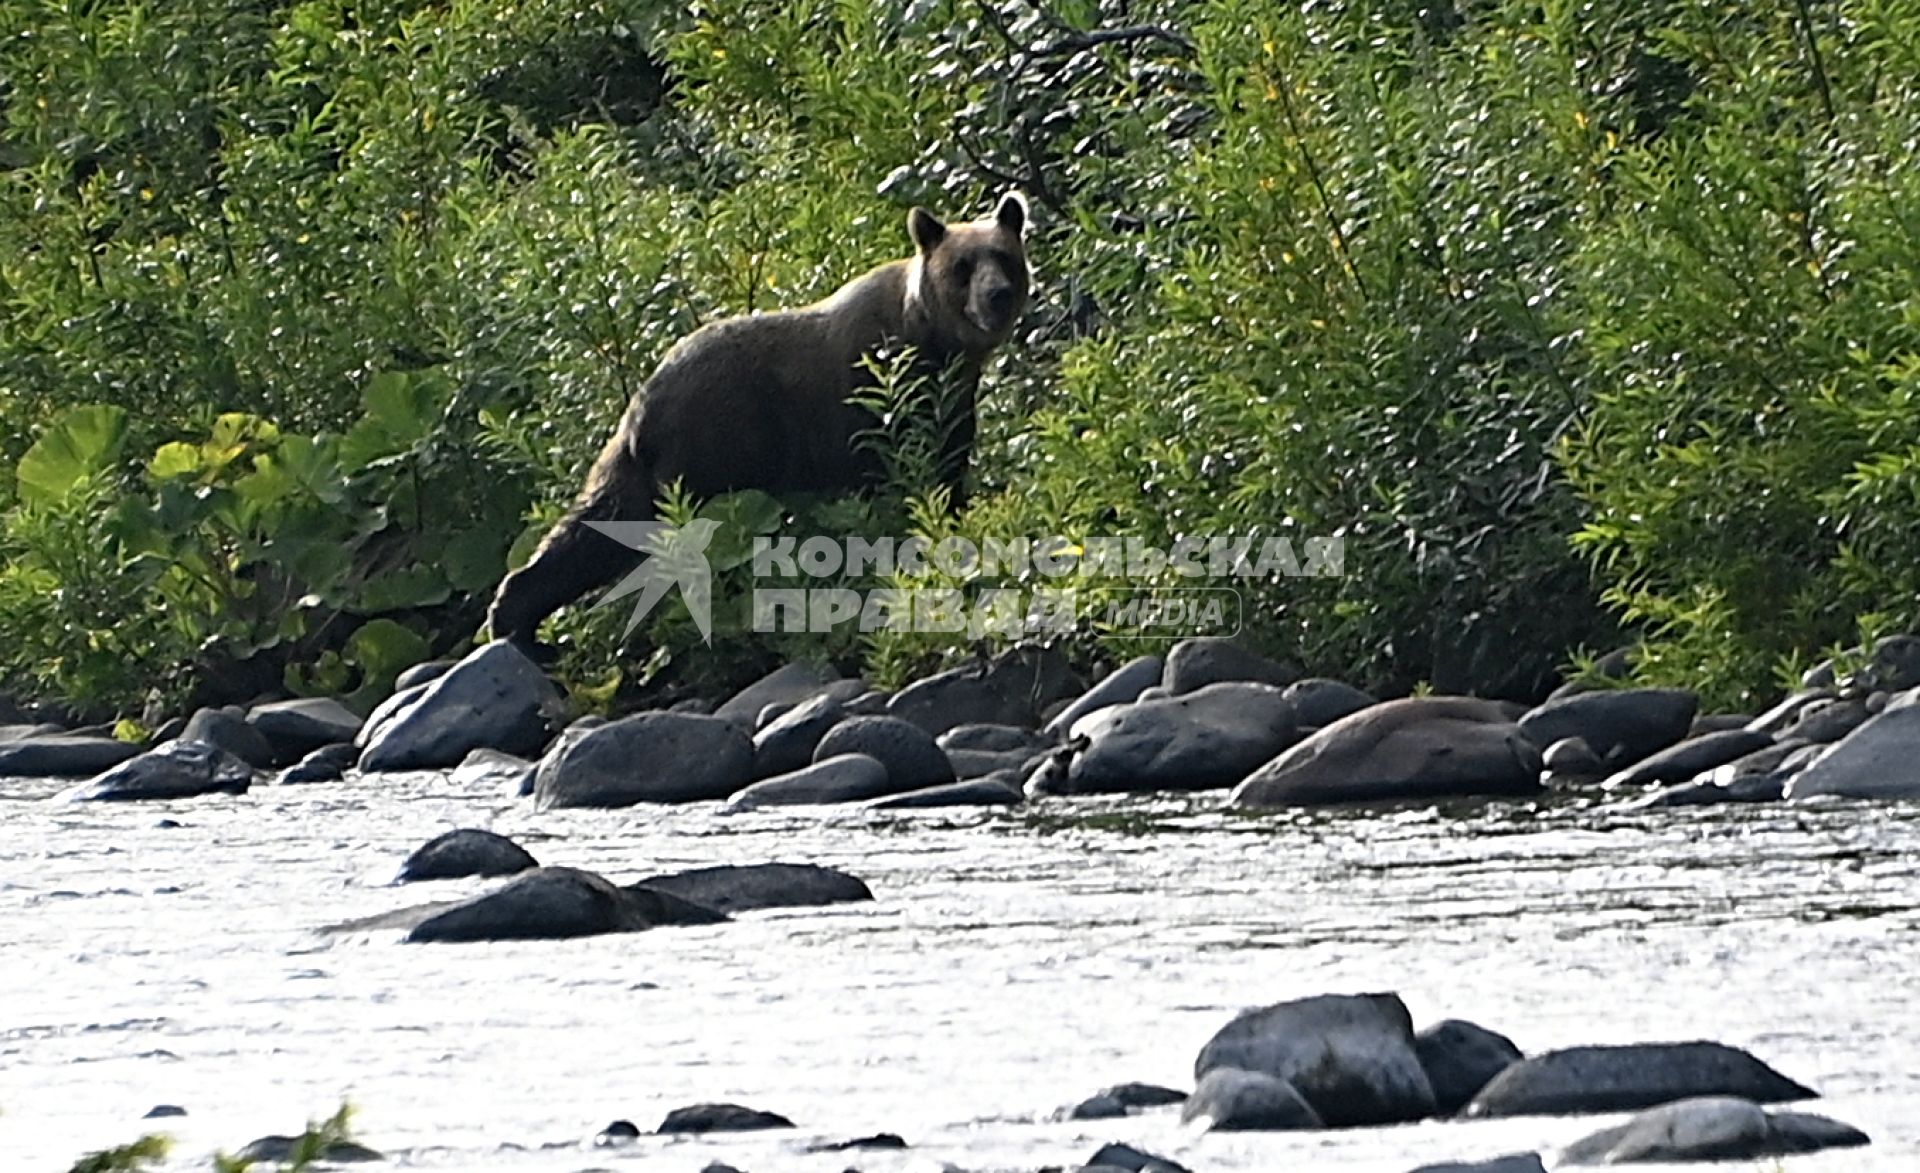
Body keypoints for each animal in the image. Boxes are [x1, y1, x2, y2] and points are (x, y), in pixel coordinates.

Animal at [491, 190, 1036, 641]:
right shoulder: (869, 397)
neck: (934, 342)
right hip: (714, 448)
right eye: (962, 265)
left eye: (1005, 256)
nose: (997, 295)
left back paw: (517, 615)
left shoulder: (951, 402)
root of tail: (641, 405)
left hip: (643, 468)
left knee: (596, 528)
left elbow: (947, 468)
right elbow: (891, 476)